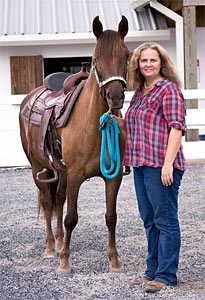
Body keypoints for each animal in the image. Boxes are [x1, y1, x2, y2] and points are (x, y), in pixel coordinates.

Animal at [18, 15, 128, 272]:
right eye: (95, 59)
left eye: (127, 55)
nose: (115, 97)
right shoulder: (76, 175)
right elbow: (71, 218)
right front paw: (64, 261)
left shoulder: (114, 177)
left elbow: (111, 217)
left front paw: (114, 260)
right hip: (38, 167)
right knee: (48, 202)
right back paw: (51, 247)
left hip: (61, 172)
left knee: (58, 200)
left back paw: (59, 241)